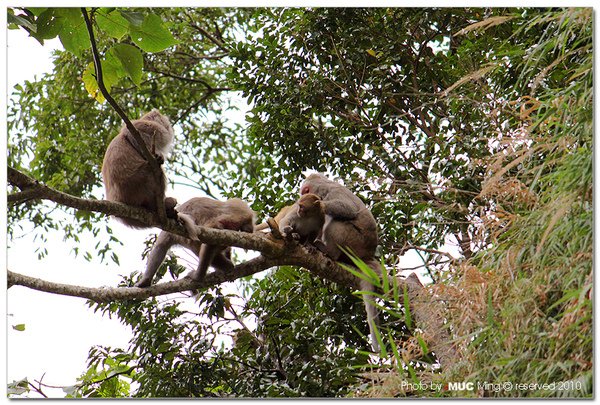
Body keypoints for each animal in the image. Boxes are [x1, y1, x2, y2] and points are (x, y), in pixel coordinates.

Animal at [302, 172, 382, 352]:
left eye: (304, 191)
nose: (301, 196)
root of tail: (368, 254)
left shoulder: (332, 192)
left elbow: (347, 209)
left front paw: (319, 205)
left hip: (355, 240)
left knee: (337, 222)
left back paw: (329, 251)